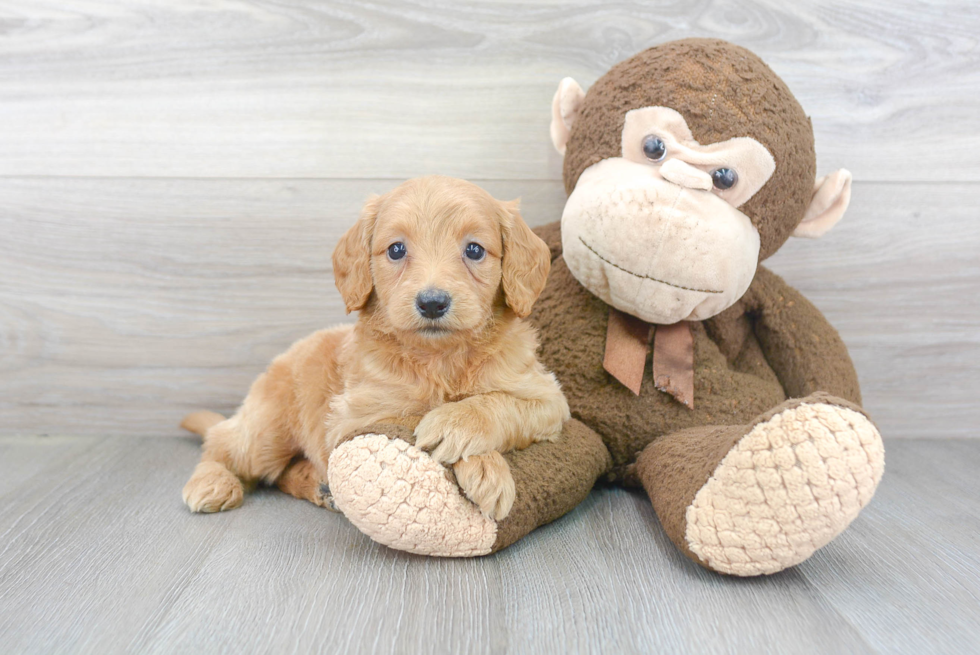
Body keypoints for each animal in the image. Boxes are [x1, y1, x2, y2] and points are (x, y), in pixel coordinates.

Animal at [180, 177, 572, 520]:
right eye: (396, 249)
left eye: (474, 250)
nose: (432, 303)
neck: (441, 357)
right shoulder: (357, 415)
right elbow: (412, 414)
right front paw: (481, 460)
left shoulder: (548, 398)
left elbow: (500, 403)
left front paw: (459, 426)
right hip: (265, 432)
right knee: (222, 446)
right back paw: (211, 483)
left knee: (282, 472)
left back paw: (320, 485)